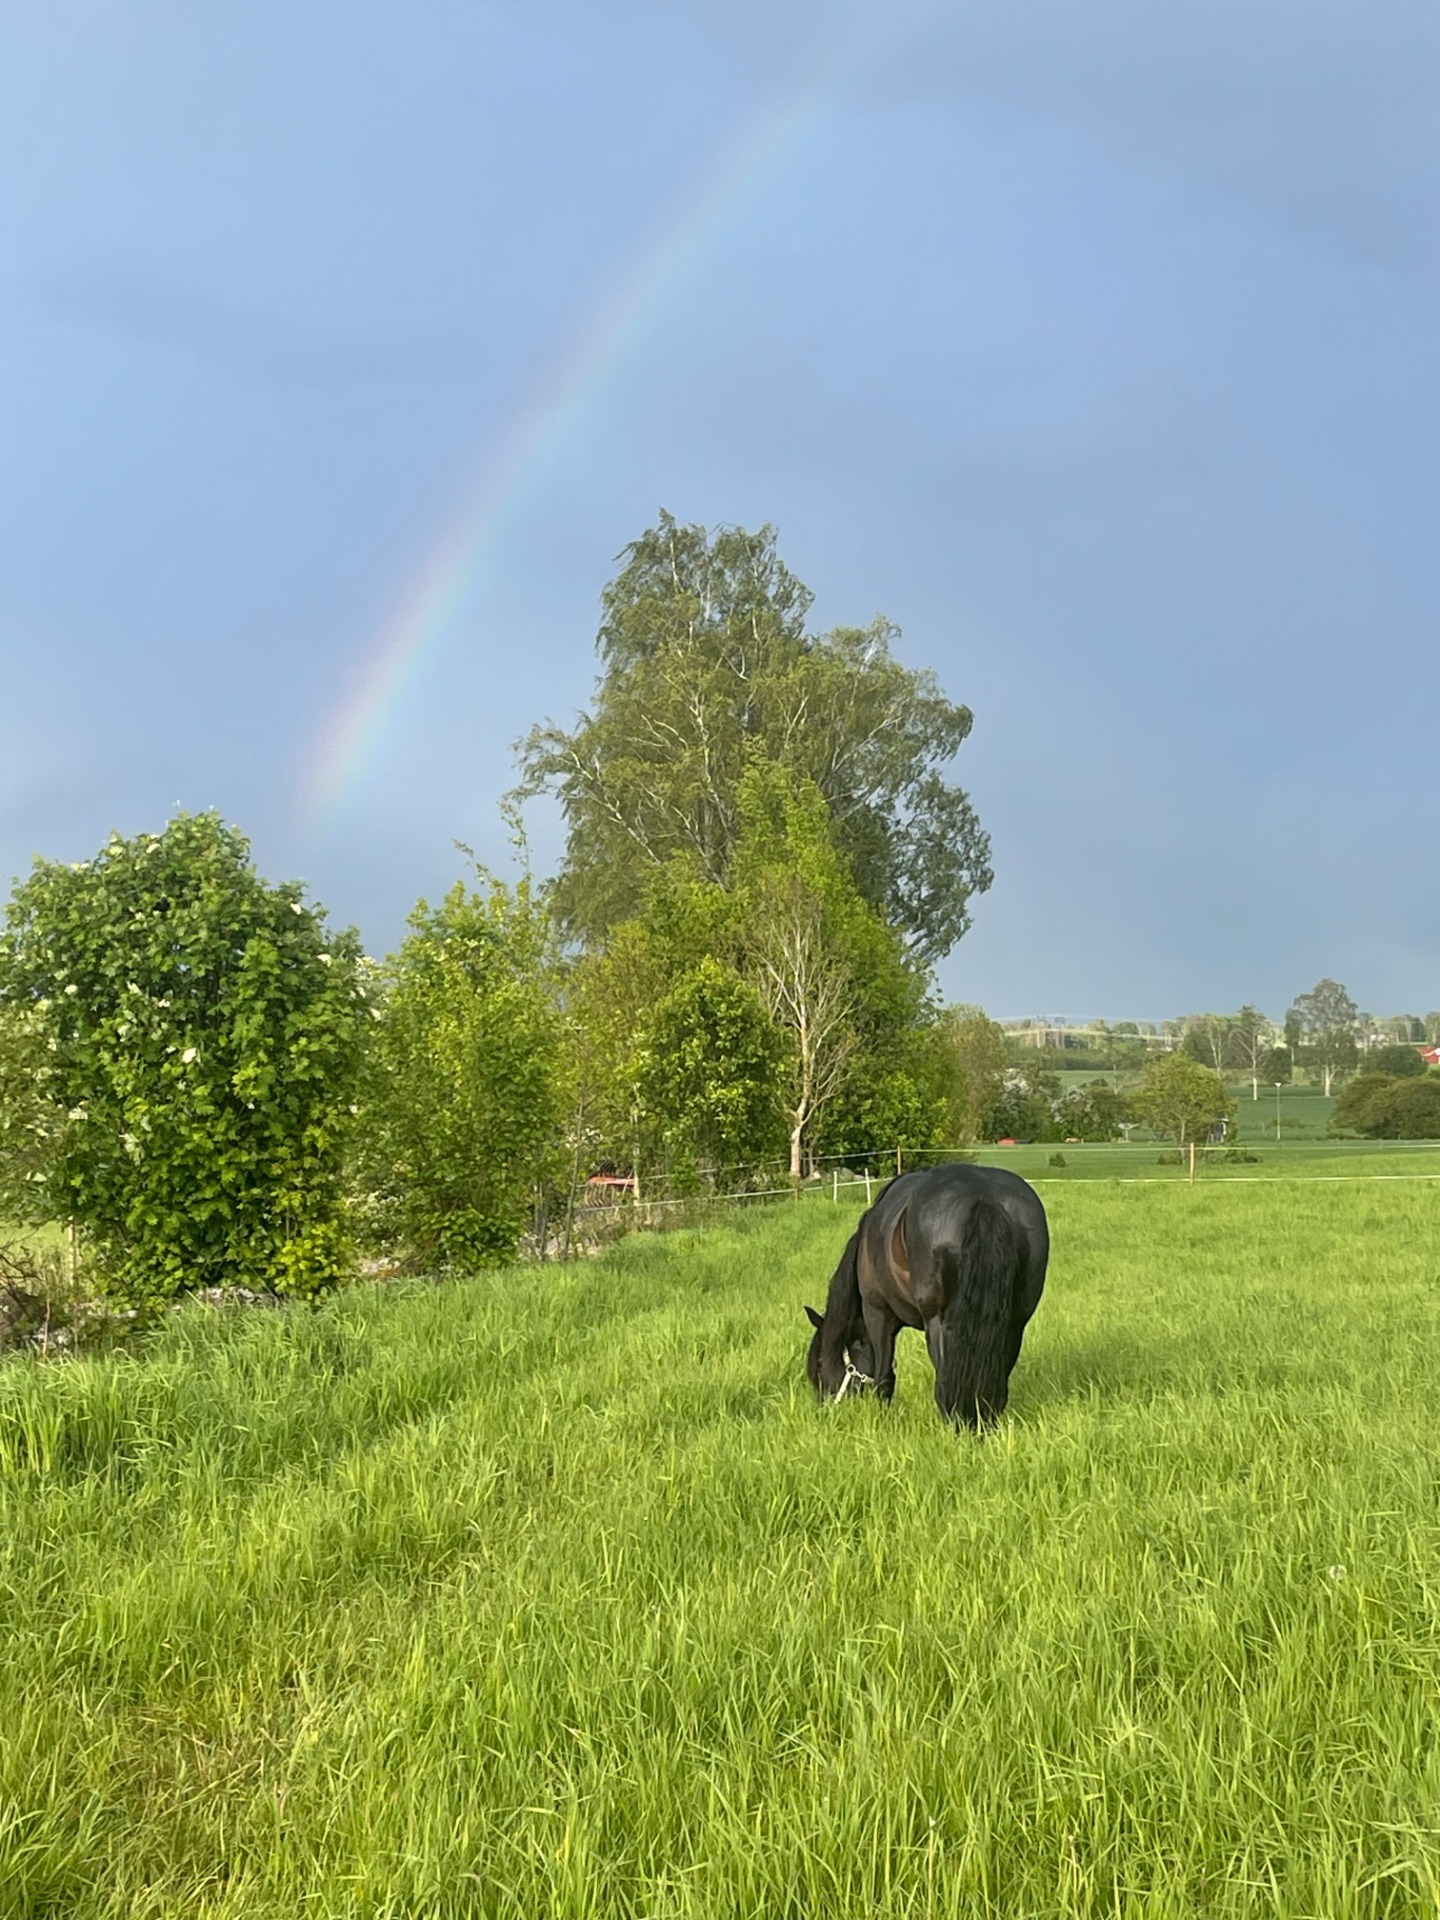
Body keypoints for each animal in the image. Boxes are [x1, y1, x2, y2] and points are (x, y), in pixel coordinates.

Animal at [804, 1162, 1049, 1428]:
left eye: (819, 1364)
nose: (824, 1411)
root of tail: (984, 1199)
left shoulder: (877, 1313)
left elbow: (884, 1378)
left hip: (937, 1323)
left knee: (944, 1381)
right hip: (1015, 1322)